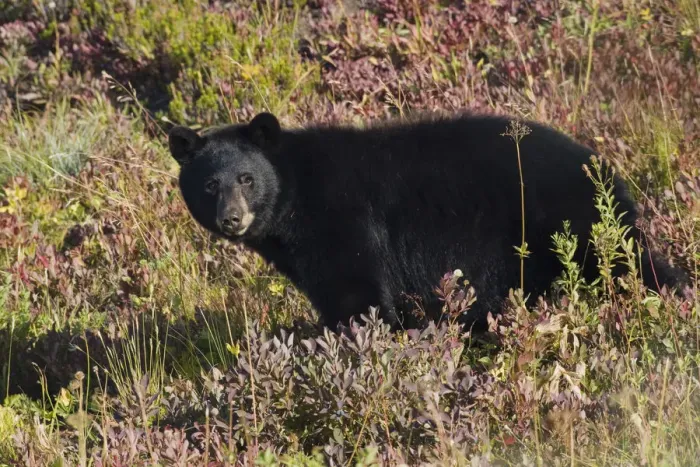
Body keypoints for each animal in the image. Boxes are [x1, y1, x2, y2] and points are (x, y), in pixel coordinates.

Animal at [167, 111, 689, 332]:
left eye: (246, 178)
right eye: (209, 185)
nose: (232, 219)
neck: (296, 197)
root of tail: (604, 171)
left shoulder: (344, 221)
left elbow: (356, 294)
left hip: (568, 223)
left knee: (627, 265)